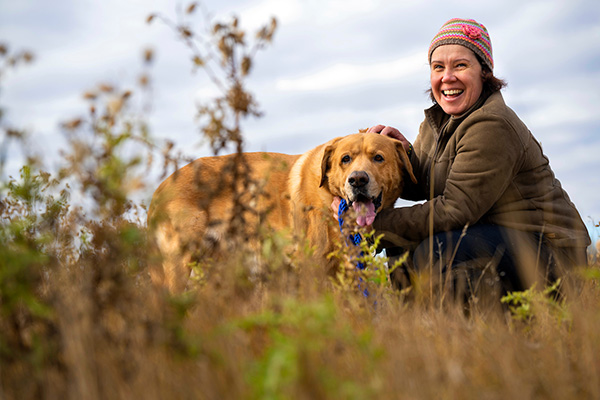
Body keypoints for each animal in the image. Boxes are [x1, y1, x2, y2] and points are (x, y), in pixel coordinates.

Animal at [147, 133, 414, 292]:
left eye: (378, 158)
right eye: (345, 159)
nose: (357, 180)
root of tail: (159, 189)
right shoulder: (311, 268)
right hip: (180, 264)